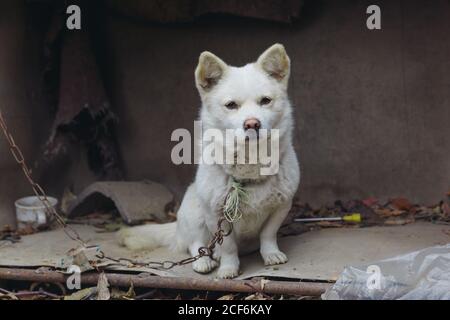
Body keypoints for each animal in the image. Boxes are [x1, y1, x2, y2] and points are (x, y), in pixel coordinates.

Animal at [118, 43, 298, 278]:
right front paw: (228, 267)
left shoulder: (281, 207)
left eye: (265, 101)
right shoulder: (215, 215)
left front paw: (271, 254)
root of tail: (177, 228)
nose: (252, 124)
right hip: (194, 214)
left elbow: (268, 234)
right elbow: (228, 246)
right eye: (231, 105)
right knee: (197, 245)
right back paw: (205, 261)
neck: (249, 163)